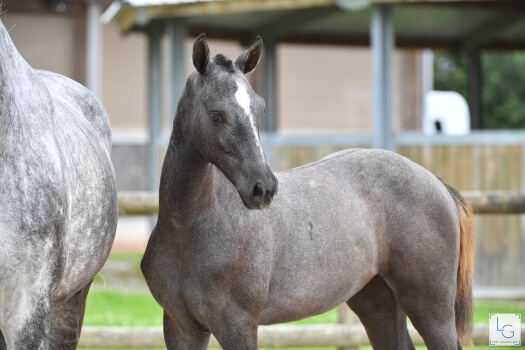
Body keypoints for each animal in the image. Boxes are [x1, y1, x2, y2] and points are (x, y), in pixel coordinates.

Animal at [142, 33, 474, 350]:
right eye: (215, 114)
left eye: (260, 108)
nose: (263, 188)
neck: (188, 229)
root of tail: (437, 183)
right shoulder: (182, 327)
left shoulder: (238, 326)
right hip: (377, 301)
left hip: (430, 307)